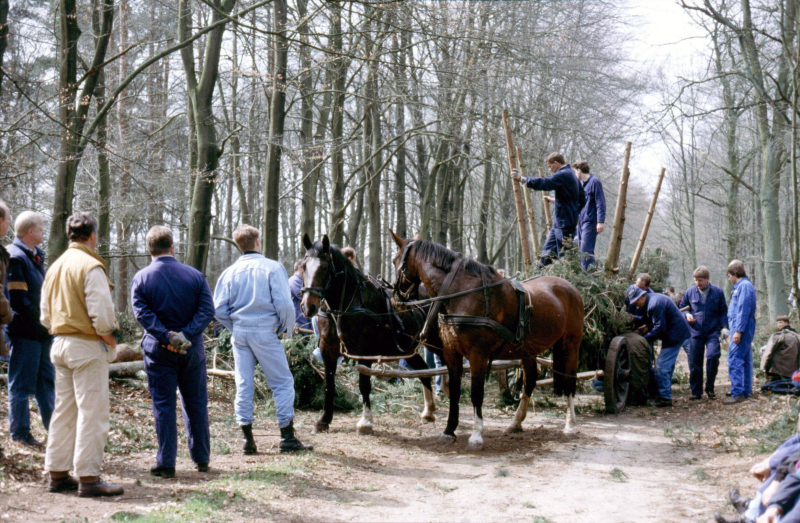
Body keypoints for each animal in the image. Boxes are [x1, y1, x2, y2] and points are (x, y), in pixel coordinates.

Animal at [390, 233, 584, 450]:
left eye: (395, 260)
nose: (395, 299)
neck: (463, 294)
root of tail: (571, 287)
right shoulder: (451, 353)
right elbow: (455, 392)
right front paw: (449, 430)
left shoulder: (477, 355)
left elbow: (476, 393)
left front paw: (476, 435)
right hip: (527, 350)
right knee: (530, 381)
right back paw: (516, 422)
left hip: (570, 345)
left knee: (570, 380)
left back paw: (570, 424)